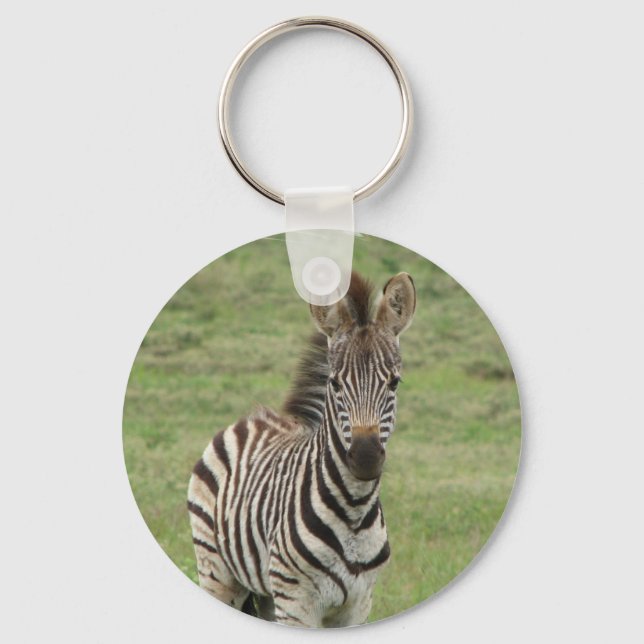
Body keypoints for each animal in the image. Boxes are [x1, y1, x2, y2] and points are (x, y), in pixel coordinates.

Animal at [187, 271, 416, 627]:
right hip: (217, 571)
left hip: (268, 592)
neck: (354, 511)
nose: (365, 458)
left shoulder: (358, 604)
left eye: (394, 383)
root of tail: (255, 417)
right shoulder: (297, 603)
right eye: (335, 383)